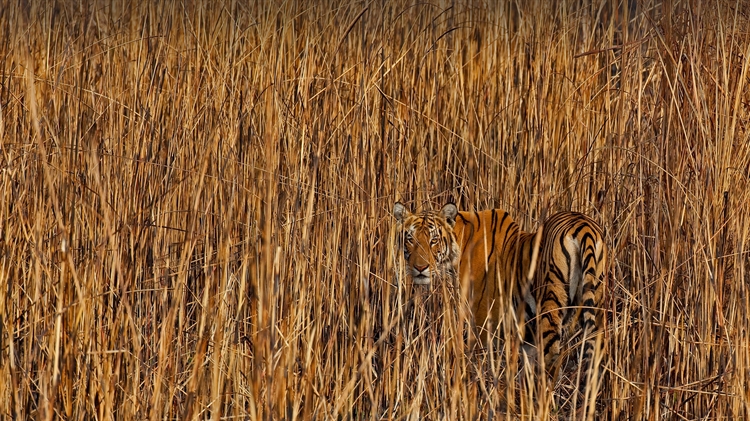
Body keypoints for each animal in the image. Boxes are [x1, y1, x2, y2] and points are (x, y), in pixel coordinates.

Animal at [396, 202, 608, 386]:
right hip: (596, 308)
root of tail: (583, 225)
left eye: (433, 241)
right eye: (411, 239)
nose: (420, 268)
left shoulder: (484, 321)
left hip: (550, 308)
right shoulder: (525, 333)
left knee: (550, 362)